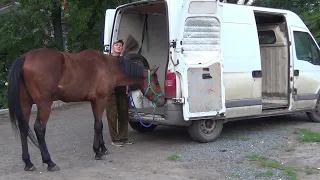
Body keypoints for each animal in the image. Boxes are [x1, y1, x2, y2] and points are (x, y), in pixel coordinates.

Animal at [7, 47, 165, 172]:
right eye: (157, 82)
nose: (163, 100)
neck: (107, 67)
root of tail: (25, 58)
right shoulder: (101, 100)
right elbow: (98, 125)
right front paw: (97, 152)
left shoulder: (94, 102)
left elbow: (98, 124)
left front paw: (102, 148)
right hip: (44, 104)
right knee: (39, 129)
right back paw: (50, 162)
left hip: (26, 104)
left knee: (23, 129)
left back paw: (28, 163)